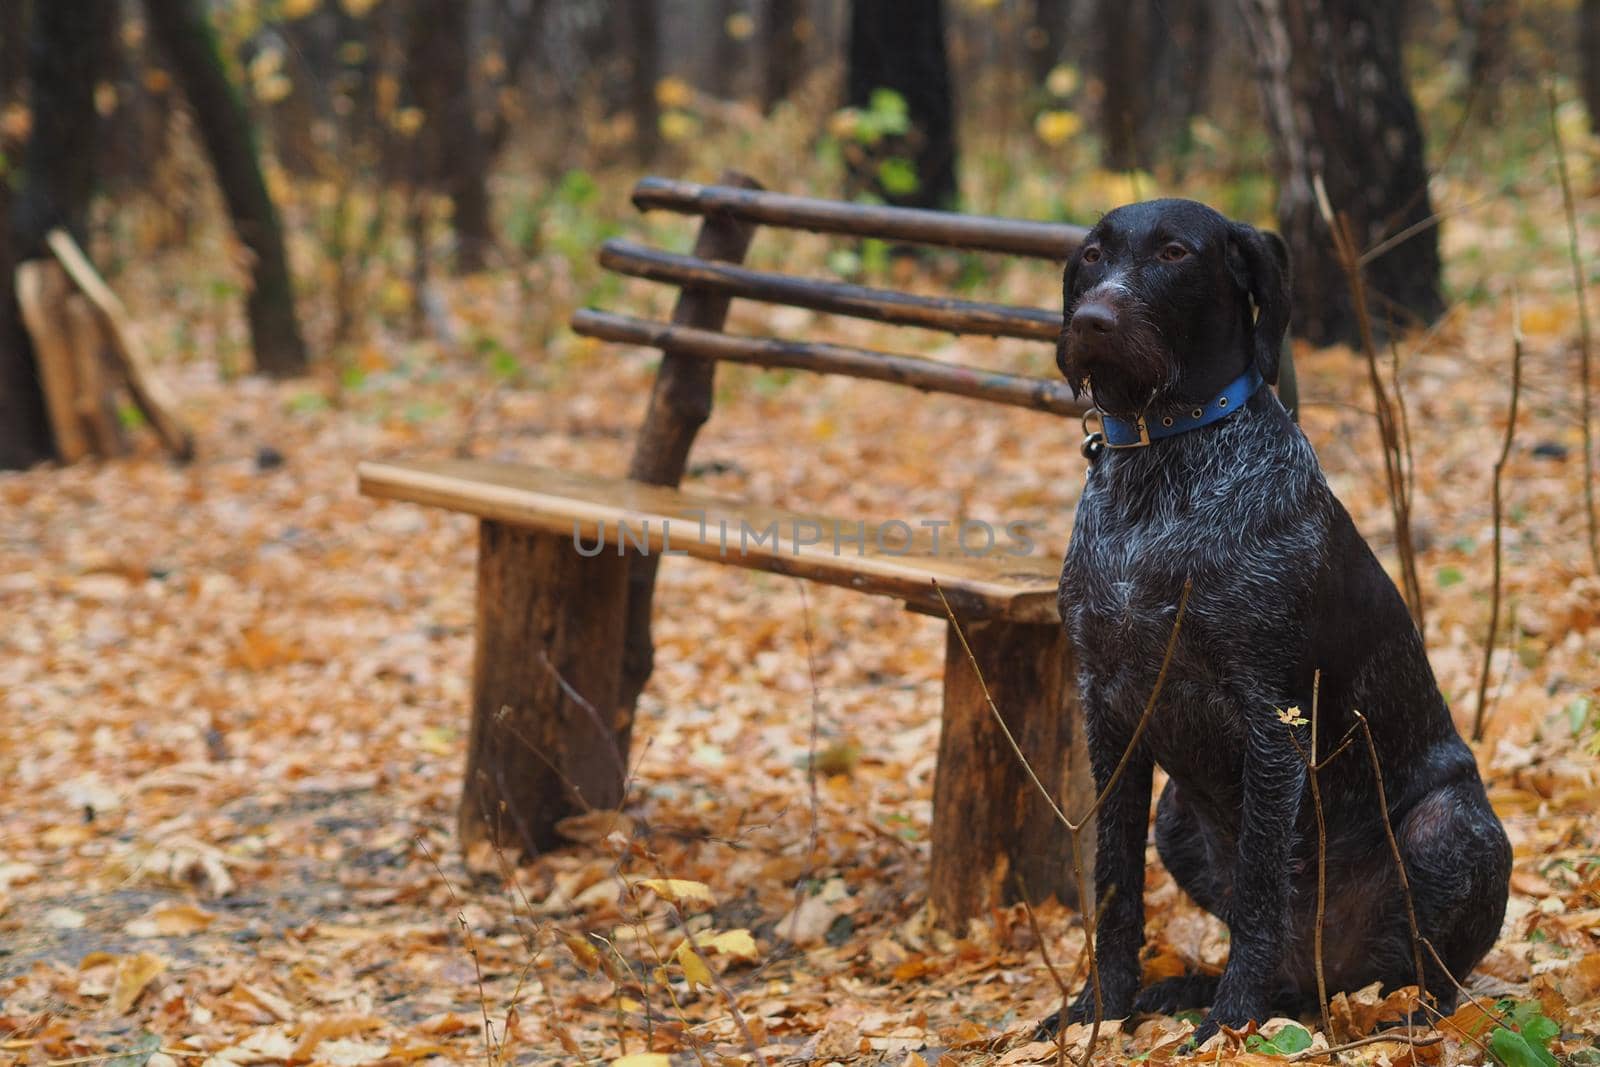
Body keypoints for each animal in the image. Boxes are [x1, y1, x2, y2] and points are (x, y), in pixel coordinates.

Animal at [1049, 198, 1510, 1043]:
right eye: (1093, 255)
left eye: (1174, 252)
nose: (1092, 319)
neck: (1163, 461)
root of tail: (1333, 977)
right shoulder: (1109, 717)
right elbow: (1114, 886)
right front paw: (1102, 1010)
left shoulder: (1273, 722)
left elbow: (1265, 890)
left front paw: (1232, 1024)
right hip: (1175, 816)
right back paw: (1191, 988)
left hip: (1448, 828)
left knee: (1432, 976)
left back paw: (1401, 1017)